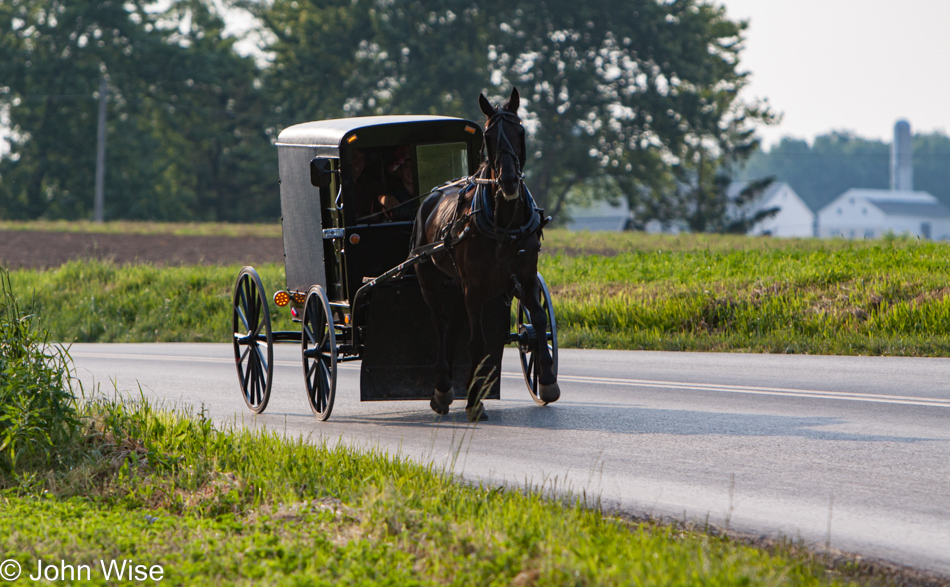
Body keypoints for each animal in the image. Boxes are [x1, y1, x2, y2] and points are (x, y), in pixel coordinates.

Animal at [412, 87, 560, 420]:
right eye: (490, 136)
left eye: (520, 131)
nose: (508, 180)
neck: (504, 221)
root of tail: (432, 196)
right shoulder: (475, 289)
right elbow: (478, 343)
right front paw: (475, 400)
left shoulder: (526, 277)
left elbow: (539, 320)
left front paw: (547, 380)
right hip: (429, 278)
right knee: (441, 325)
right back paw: (443, 388)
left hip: (458, 286)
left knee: (454, 327)